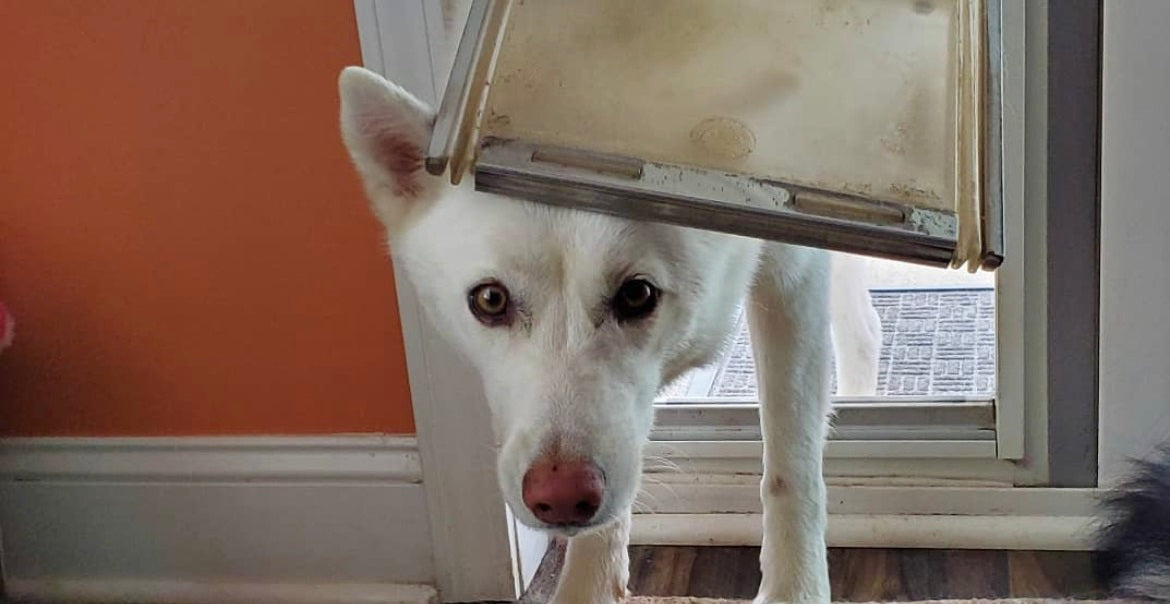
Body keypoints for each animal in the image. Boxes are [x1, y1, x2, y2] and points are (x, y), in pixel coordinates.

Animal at [336, 67, 879, 604]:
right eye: (489, 300)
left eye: (637, 294)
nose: (559, 498)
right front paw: (591, 585)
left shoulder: (794, 270)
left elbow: (792, 461)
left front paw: (796, 590)